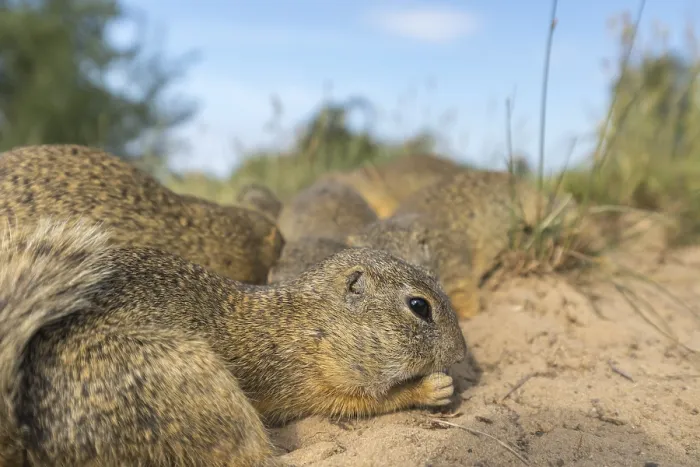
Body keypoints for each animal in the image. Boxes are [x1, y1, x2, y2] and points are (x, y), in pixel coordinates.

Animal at [0, 218, 467, 466]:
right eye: (419, 306)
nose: (462, 353)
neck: (314, 324)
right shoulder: (319, 384)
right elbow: (370, 402)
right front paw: (431, 387)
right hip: (199, 383)